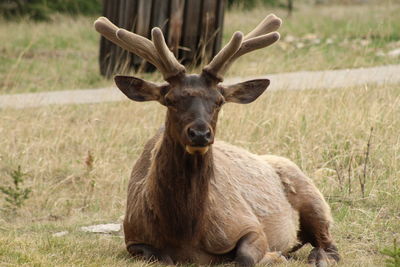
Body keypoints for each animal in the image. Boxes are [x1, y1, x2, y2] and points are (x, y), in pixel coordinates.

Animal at [94, 15, 340, 267]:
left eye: (219, 101)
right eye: (170, 100)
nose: (200, 133)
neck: (184, 233)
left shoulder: (248, 223)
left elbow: (245, 257)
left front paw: (275, 255)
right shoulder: (133, 238)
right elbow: (159, 257)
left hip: (313, 198)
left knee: (329, 244)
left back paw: (317, 257)